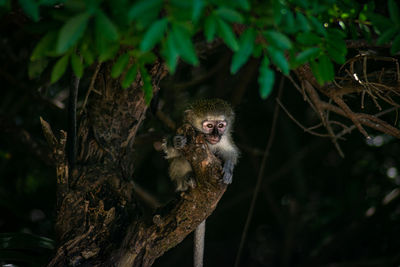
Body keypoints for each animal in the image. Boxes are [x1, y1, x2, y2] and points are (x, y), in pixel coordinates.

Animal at [162, 98, 239, 267]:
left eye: (220, 126)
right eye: (209, 126)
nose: (216, 135)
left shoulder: (225, 139)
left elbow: (231, 152)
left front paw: (228, 169)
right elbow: (172, 153)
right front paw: (175, 142)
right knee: (179, 160)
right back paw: (186, 180)